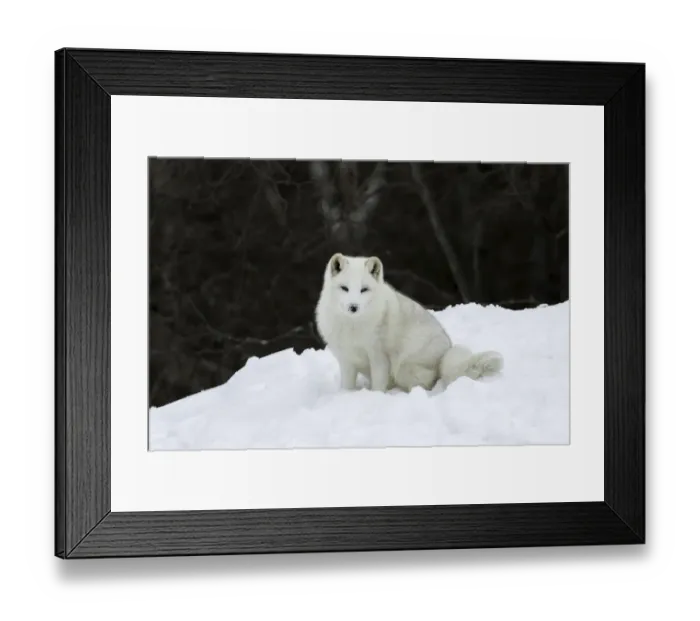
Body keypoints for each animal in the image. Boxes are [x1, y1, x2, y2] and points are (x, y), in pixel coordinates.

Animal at [314, 253, 504, 393]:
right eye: (344, 288)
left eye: (364, 289)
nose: (353, 307)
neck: (353, 326)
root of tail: (446, 353)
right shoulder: (346, 360)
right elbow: (347, 386)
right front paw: (346, 396)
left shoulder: (379, 358)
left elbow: (378, 386)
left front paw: (375, 397)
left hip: (403, 367)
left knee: (427, 383)